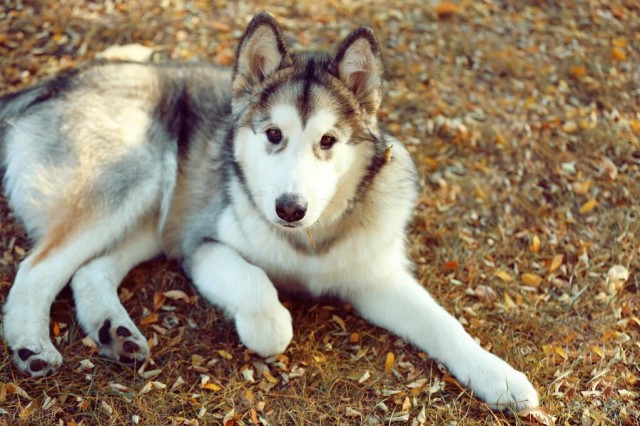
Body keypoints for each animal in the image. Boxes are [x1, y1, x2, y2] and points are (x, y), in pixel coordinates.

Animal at [1, 13, 540, 412]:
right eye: (274, 135)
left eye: (328, 141)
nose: (290, 208)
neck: (309, 241)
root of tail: (62, 79)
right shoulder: (203, 246)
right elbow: (261, 295)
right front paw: (270, 326)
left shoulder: (375, 277)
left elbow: (445, 325)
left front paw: (500, 377)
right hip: (134, 178)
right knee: (38, 267)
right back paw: (31, 345)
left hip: (152, 216)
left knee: (88, 270)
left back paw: (115, 332)